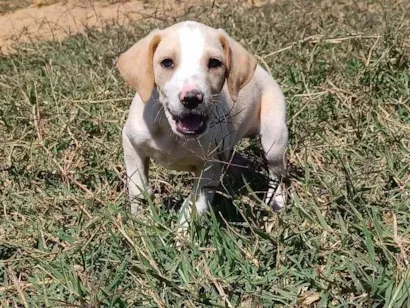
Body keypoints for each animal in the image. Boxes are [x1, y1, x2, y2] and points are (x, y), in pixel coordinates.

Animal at [117, 21, 286, 223]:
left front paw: (180, 231)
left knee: (277, 173)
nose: (192, 98)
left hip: (274, 138)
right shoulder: (131, 143)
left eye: (214, 63)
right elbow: (138, 188)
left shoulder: (209, 166)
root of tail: (263, 71)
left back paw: (276, 201)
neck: (172, 134)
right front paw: (143, 221)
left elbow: (194, 206)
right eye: (167, 62)